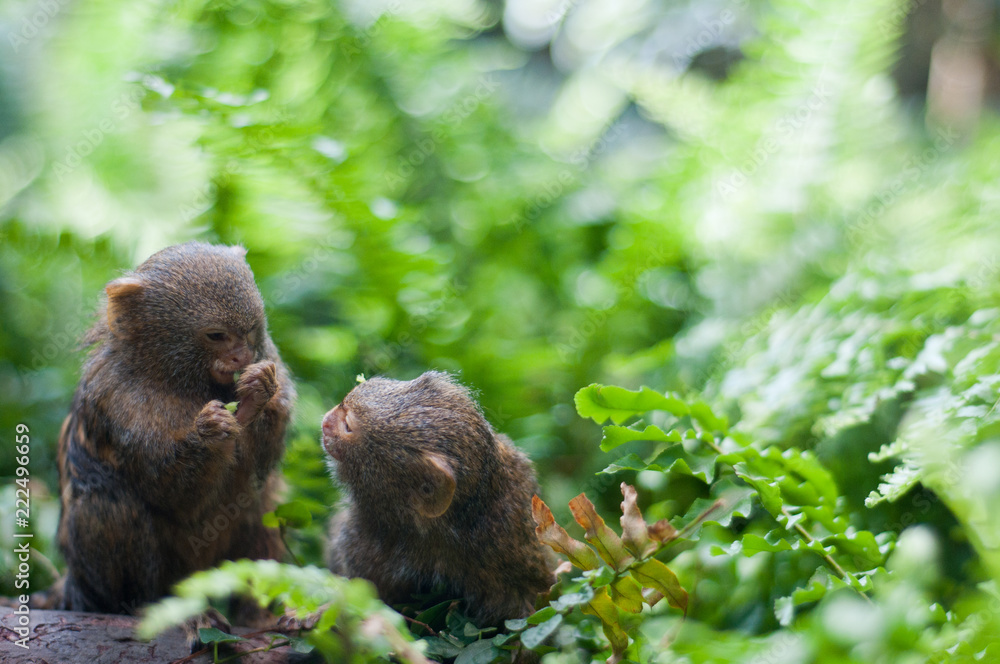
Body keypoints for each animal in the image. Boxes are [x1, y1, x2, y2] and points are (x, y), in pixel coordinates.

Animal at [55, 241, 295, 617]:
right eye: (217, 335)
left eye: (250, 330)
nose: (241, 357)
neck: (172, 378)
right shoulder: (115, 398)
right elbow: (172, 494)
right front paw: (210, 433)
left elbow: (259, 474)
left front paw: (258, 394)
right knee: (105, 504)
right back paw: (143, 606)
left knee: (262, 508)